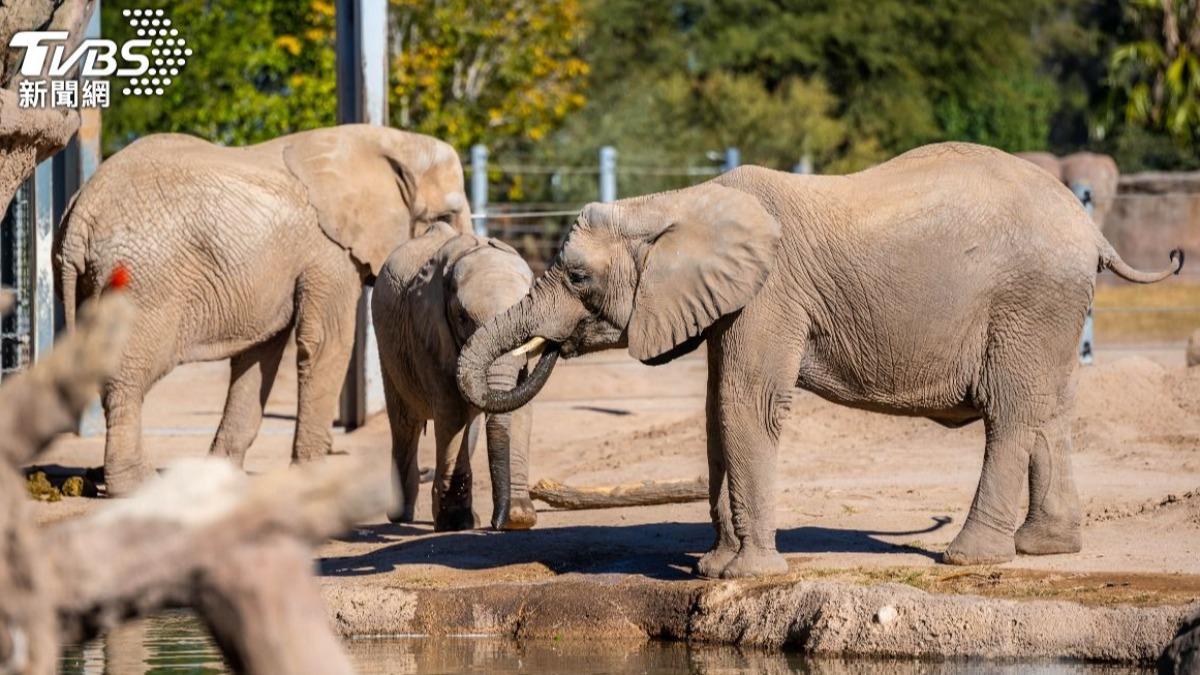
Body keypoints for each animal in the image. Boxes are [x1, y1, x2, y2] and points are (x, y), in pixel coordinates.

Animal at [55, 124, 472, 495]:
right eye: (443, 219)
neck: (387, 140)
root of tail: (80, 215)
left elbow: (261, 353)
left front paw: (224, 479)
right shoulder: (329, 253)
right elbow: (326, 344)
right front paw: (311, 481)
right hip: (142, 283)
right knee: (127, 376)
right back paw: (136, 486)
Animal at [372, 223, 537, 531]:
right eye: (462, 318)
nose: (497, 523)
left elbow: (519, 405)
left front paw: (519, 518)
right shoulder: (429, 333)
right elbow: (451, 413)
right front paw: (454, 523)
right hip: (389, 346)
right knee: (404, 424)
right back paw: (401, 516)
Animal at [456, 142, 1184, 578]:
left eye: (578, 276)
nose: (545, 348)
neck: (680, 200)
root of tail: (1091, 228)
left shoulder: (772, 292)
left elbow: (744, 403)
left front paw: (748, 576)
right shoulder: (732, 302)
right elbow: (717, 408)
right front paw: (713, 570)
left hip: (1028, 298)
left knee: (1009, 415)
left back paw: (966, 559)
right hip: (1049, 307)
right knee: (1048, 410)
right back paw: (1043, 547)